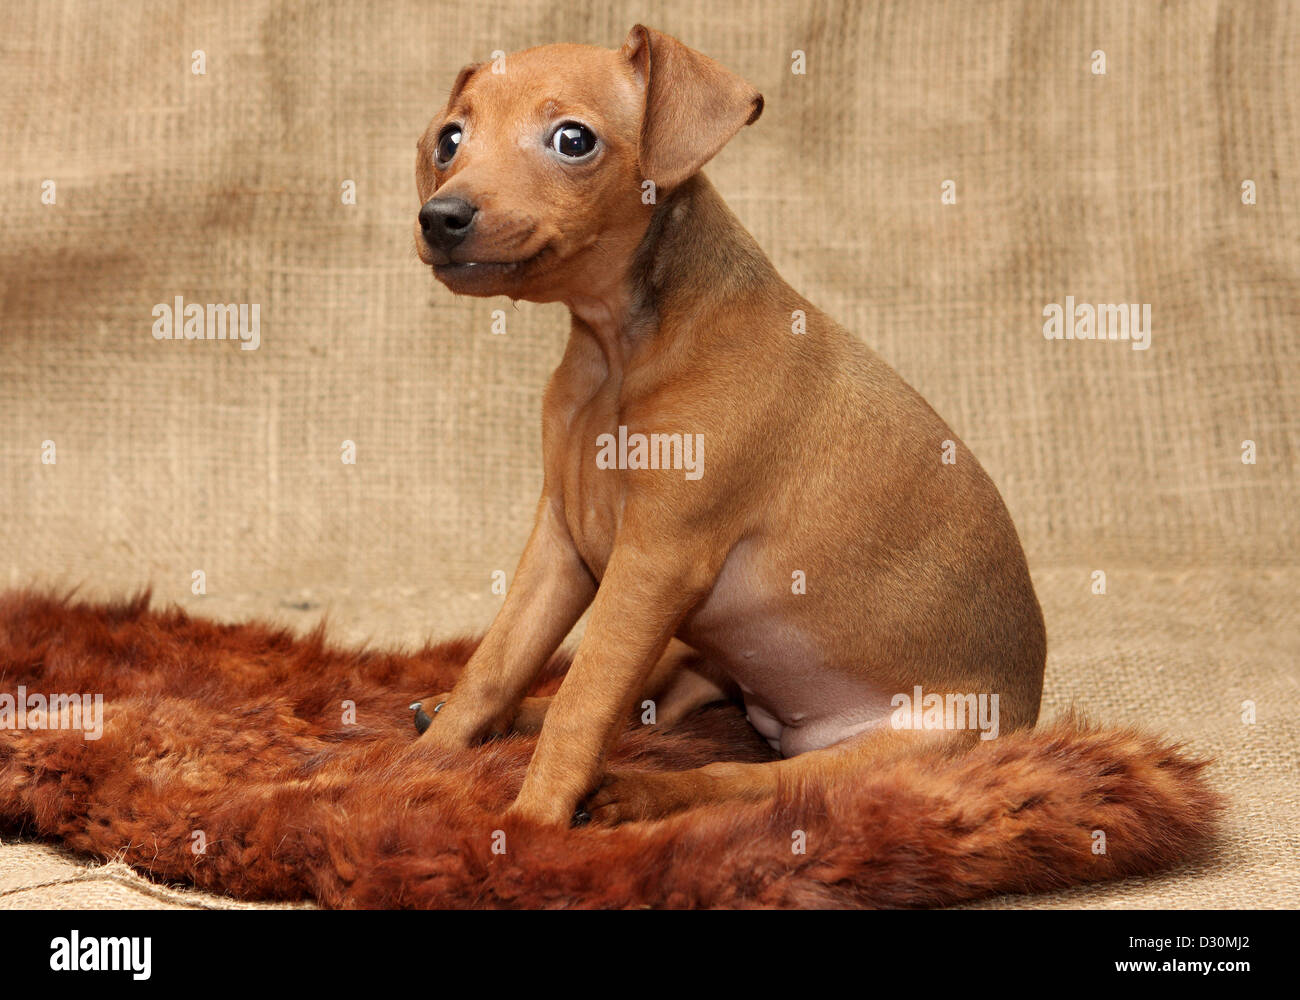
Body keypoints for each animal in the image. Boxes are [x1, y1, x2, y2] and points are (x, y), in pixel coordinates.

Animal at [410, 25, 1040, 827]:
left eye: (573, 139)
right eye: (451, 139)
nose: (441, 217)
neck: (622, 353)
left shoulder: (654, 563)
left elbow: (584, 701)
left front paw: (532, 825)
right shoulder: (562, 544)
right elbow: (495, 665)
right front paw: (417, 768)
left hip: (889, 748)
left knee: (728, 776)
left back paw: (633, 792)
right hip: (697, 650)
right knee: (653, 706)